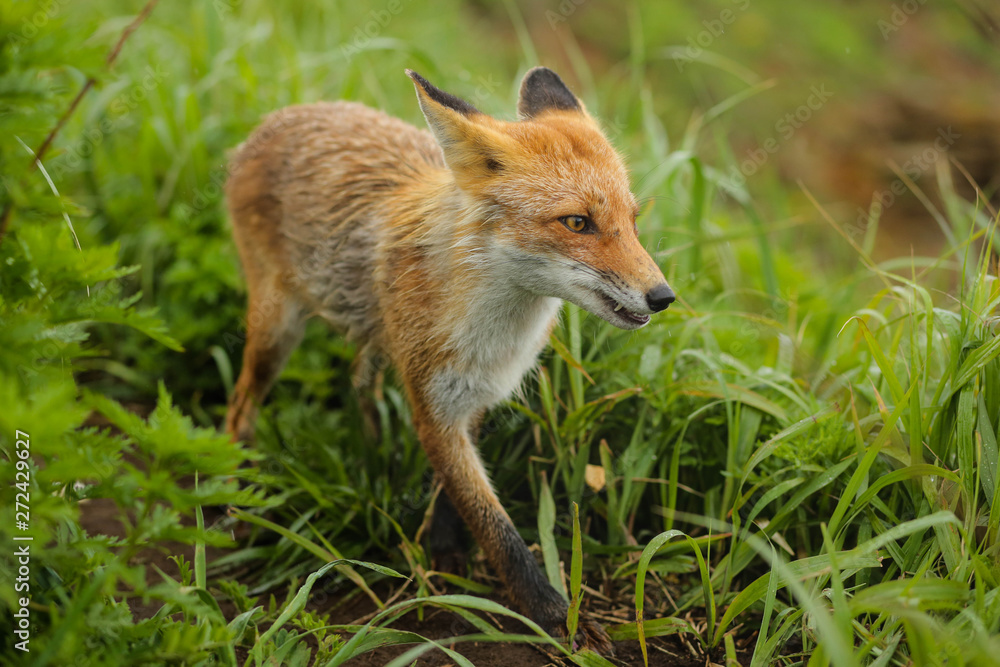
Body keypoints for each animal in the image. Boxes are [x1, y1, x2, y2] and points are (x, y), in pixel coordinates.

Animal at [223, 67, 675, 652]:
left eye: (633, 221)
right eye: (578, 223)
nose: (664, 297)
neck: (496, 328)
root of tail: (281, 117)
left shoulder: (475, 392)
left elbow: (453, 491)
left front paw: (443, 547)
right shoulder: (433, 401)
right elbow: (495, 526)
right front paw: (553, 615)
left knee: (359, 382)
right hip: (276, 332)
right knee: (239, 407)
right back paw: (235, 493)